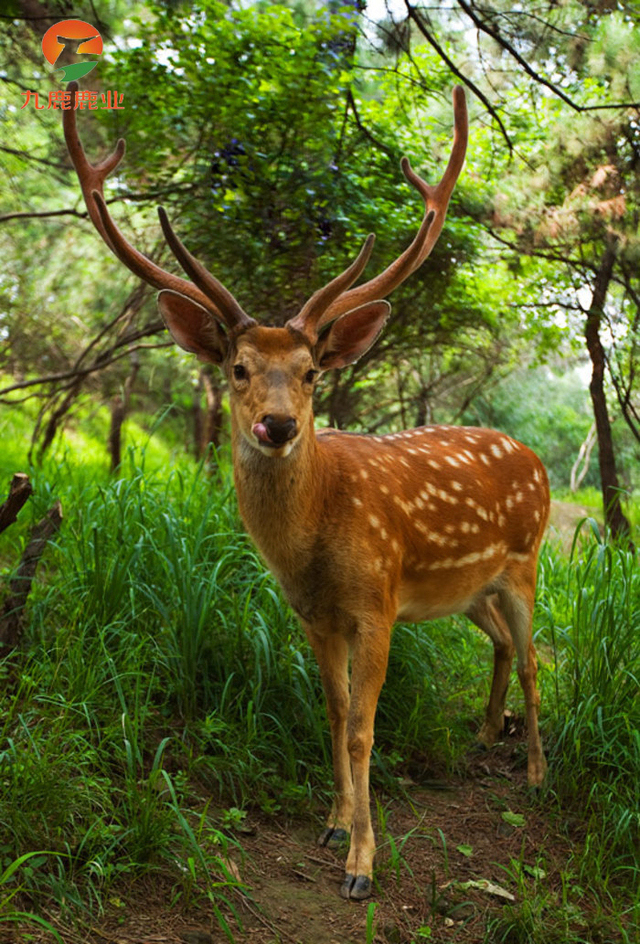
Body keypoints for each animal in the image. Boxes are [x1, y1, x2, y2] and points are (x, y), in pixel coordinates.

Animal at [65, 83, 552, 900]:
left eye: (312, 372)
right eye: (236, 368)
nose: (277, 424)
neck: (315, 540)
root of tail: (536, 458)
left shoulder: (377, 602)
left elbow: (363, 727)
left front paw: (362, 864)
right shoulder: (314, 615)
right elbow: (331, 712)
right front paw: (332, 824)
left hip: (526, 562)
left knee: (534, 657)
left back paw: (539, 772)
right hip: (467, 589)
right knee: (503, 647)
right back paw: (487, 735)